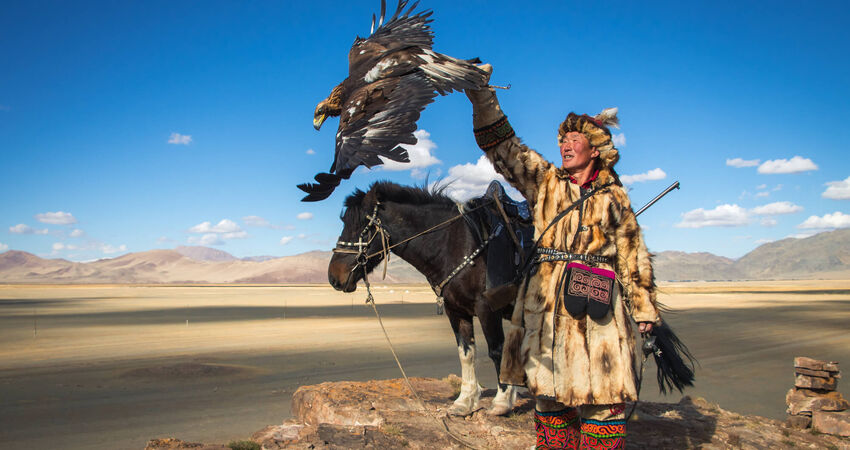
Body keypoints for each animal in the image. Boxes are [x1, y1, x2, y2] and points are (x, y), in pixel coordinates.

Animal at [327, 180, 523, 416]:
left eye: (362, 227)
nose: (333, 276)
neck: (455, 243)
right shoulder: (456, 310)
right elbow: (466, 353)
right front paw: (464, 402)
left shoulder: (487, 308)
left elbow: (497, 350)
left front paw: (502, 402)